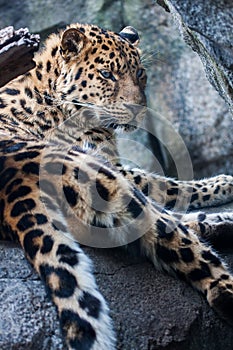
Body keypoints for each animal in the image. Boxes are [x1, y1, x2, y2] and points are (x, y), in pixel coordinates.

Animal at [0, 22, 233, 350]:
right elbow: (166, 183)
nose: (137, 109)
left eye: (140, 72)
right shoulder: (113, 164)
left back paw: (222, 223)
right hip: (103, 179)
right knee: (184, 245)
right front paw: (222, 183)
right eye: (106, 74)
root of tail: (12, 183)